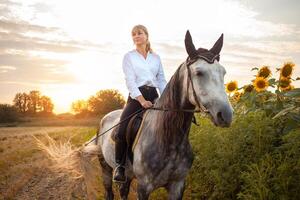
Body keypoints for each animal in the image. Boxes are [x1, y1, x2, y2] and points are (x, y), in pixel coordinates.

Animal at [92, 30, 233, 200]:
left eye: (223, 72)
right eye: (199, 72)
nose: (226, 115)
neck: (168, 138)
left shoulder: (177, 185)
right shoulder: (144, 187)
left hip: (127, 176)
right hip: (105, 167)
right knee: (109, 191)